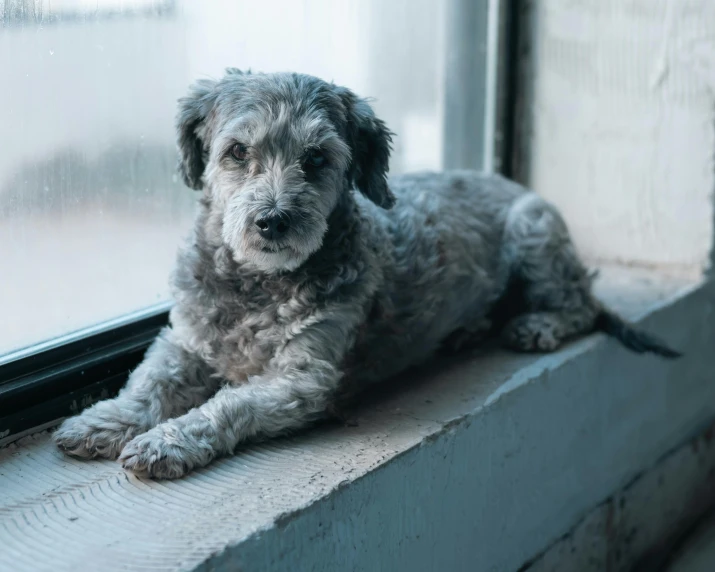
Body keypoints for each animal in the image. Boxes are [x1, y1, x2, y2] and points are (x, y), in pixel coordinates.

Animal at [53, 69, 680, 478]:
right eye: (236, 151)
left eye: (316, 158)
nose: (272, 221)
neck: (258, 285)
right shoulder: (184, 341)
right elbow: (147, 385)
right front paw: (105, 421)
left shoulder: (303, 380)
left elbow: (227, 405)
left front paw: (168, 441)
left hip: (535, 232)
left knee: (580, 304)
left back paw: (538, 326)